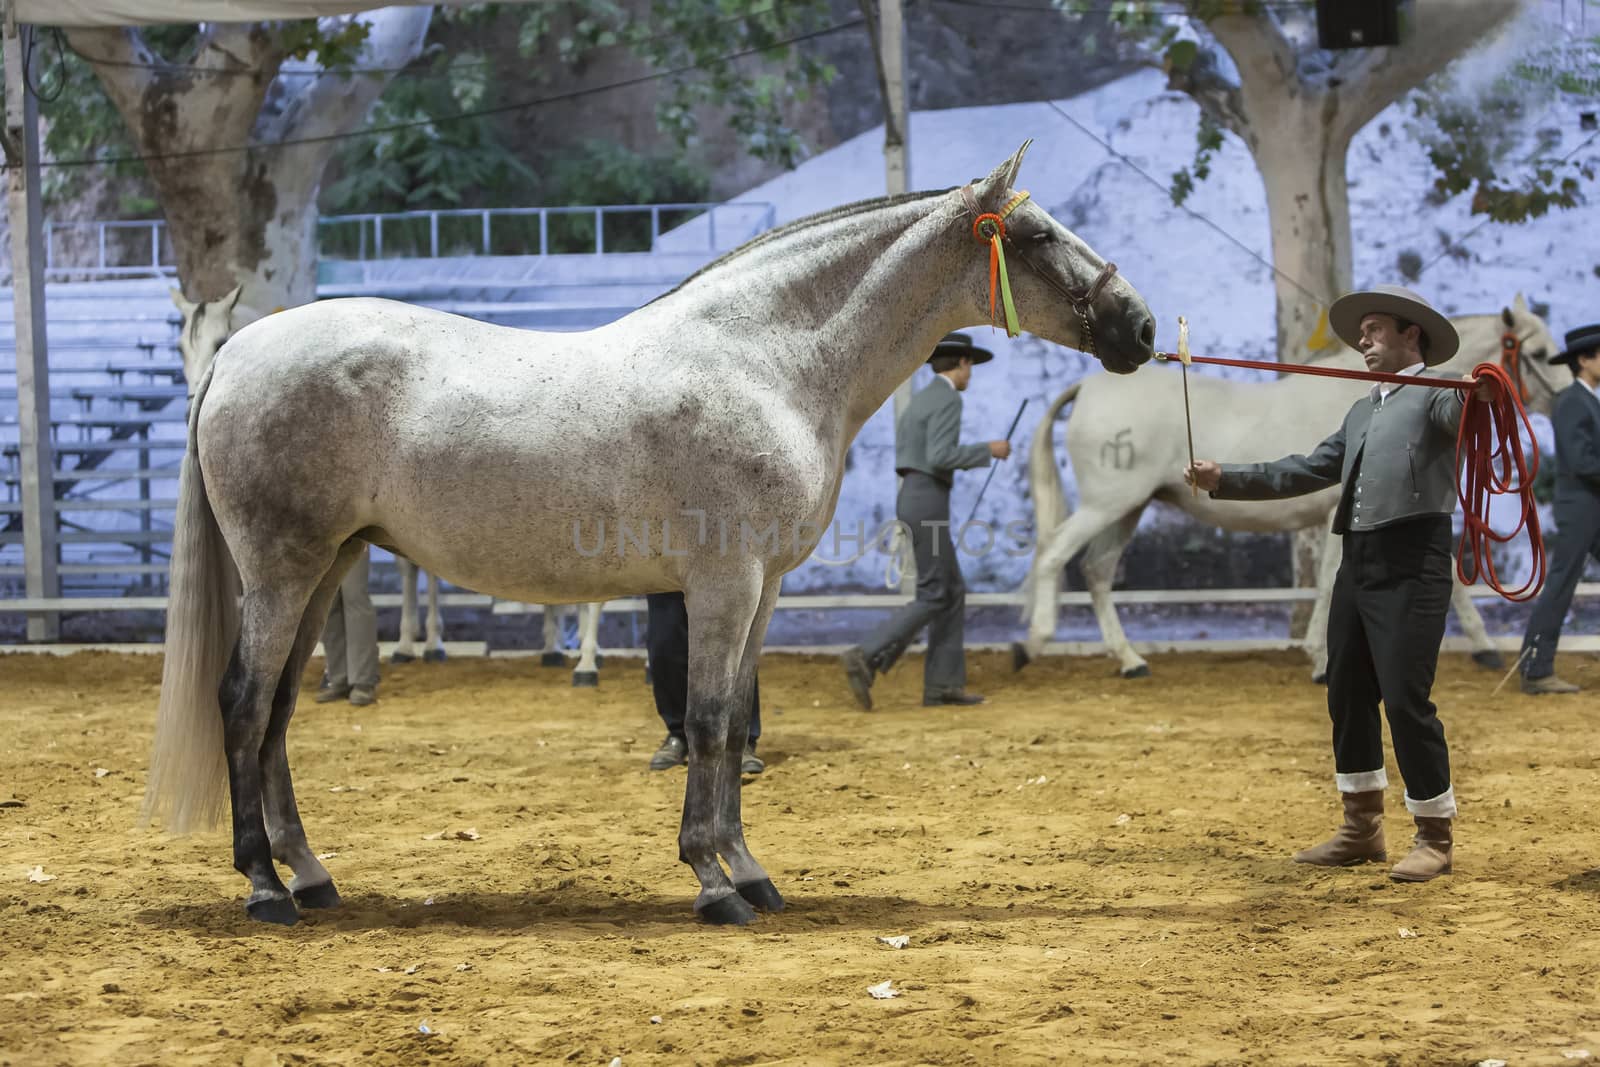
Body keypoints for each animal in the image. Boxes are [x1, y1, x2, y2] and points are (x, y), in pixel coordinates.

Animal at [168, 287, 604, 684]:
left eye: (218, 340)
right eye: (181, 348)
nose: (191, 409)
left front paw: (429, 643)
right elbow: (412, 569)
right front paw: (413, 644)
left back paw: (581, 658)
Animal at [1011, 295, 1561, 681]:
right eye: (1538, 353)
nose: (1571, 395)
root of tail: (1089, 387)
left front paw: (1485, 649)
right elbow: (1334, 582)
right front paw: (1320, 661)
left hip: (1129, 507)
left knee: (1097, 572)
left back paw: (1130, 660)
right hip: (1109, 503)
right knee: (1054, 553)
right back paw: (1031, 644)